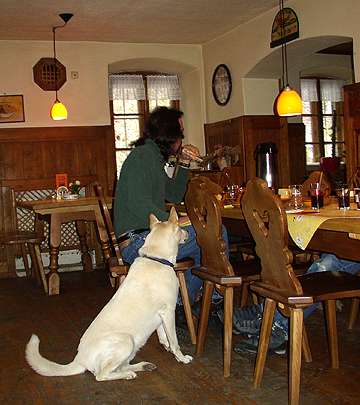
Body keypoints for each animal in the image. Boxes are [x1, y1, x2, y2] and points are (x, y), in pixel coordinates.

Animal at [25, 207, 193, 380]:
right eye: (180, 228)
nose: (188, 230)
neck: (157, 258)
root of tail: (80, 360)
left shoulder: (161, 315)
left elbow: (162, 335)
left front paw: (166, 346)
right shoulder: (169, 312)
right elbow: (174, 341)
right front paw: (181, 357)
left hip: (132, 347)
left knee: (119, 367)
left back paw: (142, 366)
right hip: (126, 341)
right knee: (102, 375)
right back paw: (129, 374)